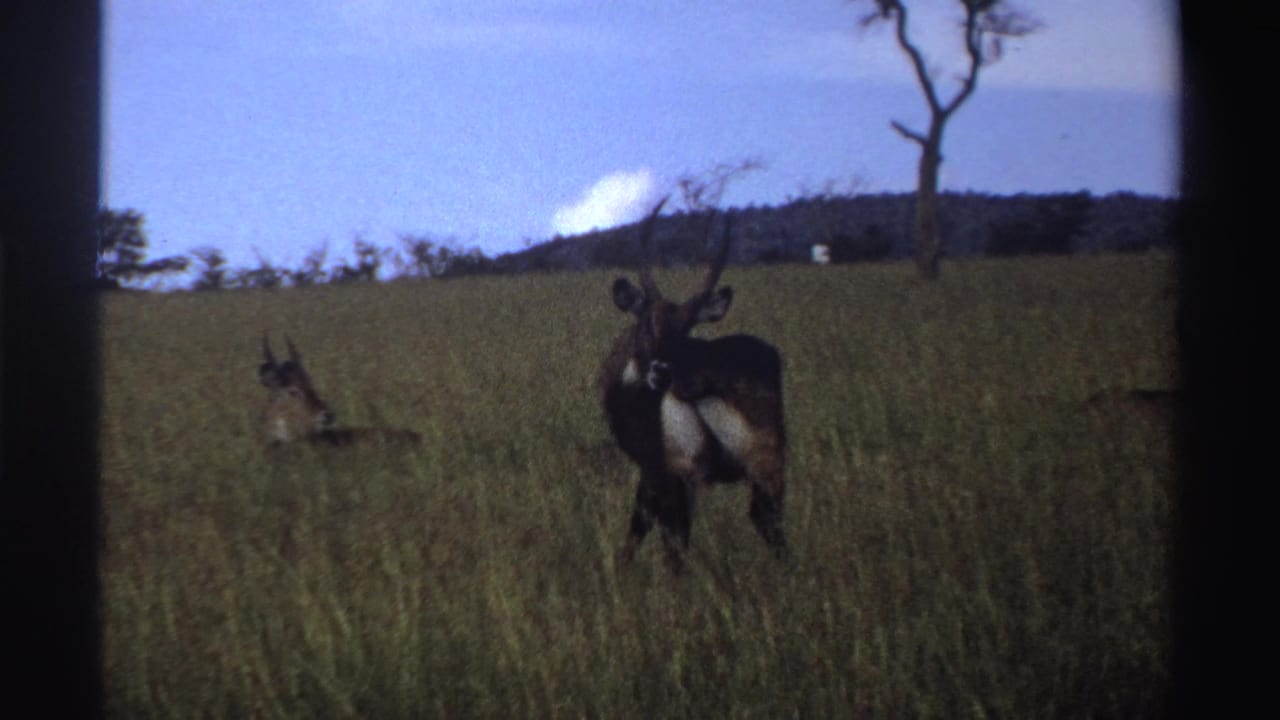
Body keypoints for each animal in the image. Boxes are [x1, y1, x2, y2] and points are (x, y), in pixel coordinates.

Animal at [598, 197, 788, 571]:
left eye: (685, 329)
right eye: (649, 323)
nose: (662, 372)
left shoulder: (656, 469)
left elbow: (639, 527)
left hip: (684, 474)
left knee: (676, 543)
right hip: (767, 466)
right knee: (767, 522)